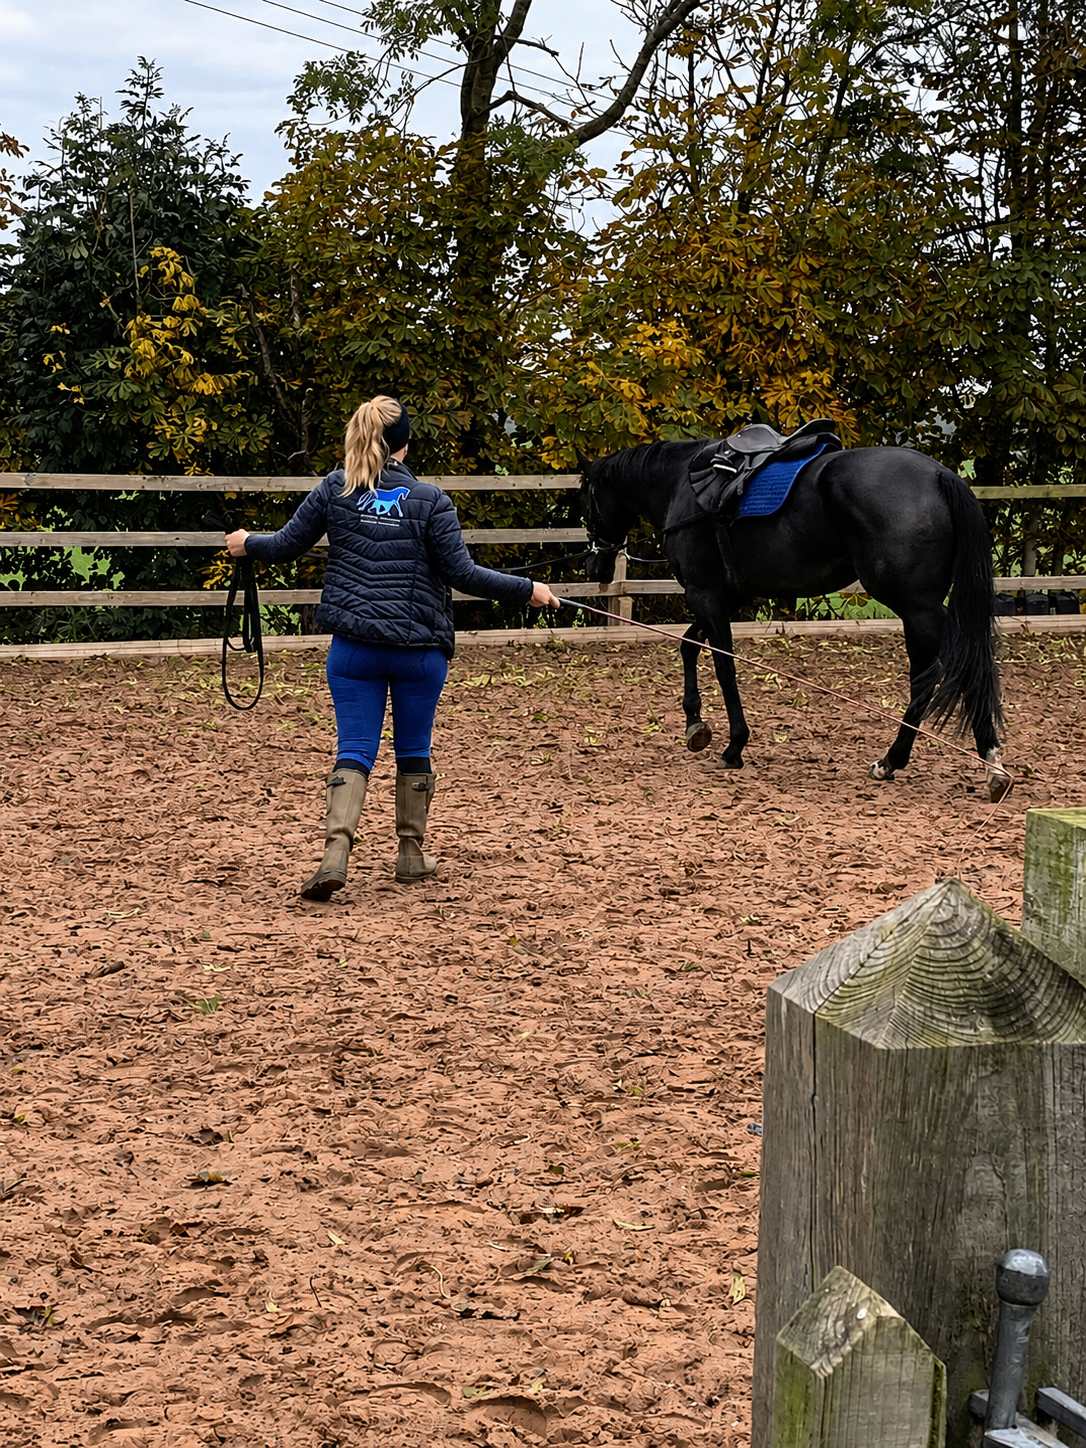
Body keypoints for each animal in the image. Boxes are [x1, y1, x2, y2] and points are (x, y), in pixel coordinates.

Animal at [578, 440, 1011, 802]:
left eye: (587, 500)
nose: (594, 566)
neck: (682, 485)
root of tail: (939, 475)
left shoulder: (705, 594)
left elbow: (724, 666)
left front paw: (734, 745)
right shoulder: (727, 597)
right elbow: (689, 646)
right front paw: (695, 725)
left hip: (916, 607)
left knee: (959, 668)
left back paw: (987, 764)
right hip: (916, 610)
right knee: (932, 675)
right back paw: (900, 761)